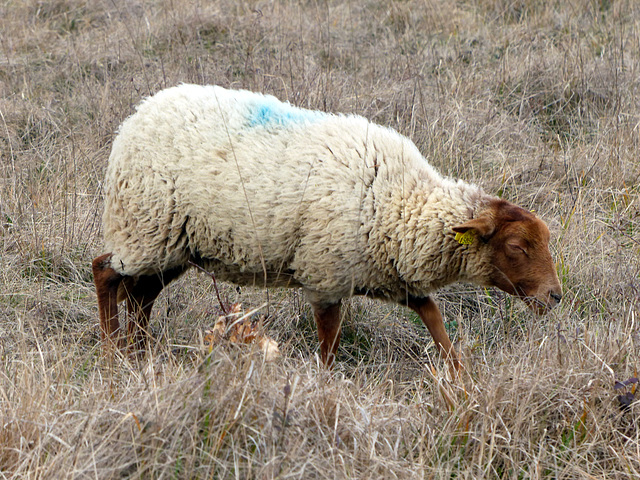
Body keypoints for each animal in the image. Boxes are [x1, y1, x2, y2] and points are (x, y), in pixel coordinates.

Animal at [92, 82, 564, 370]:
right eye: (518, 247)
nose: (555, 296)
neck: (401, 202)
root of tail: (137, 116)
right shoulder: (326, 273)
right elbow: (330, 343)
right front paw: (324, 384)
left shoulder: (390, 273)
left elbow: (434, 319)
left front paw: (459, 375)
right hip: (144, 227)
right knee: (105, 273)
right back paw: (113, 352)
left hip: (172, 245)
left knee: (141, 296)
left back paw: (137, 354)